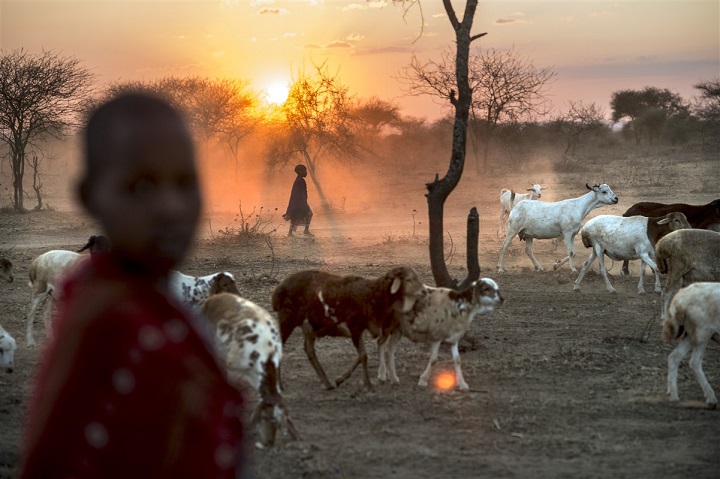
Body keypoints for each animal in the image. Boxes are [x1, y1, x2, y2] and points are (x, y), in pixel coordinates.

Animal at [272, 266, 424, 390]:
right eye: (409, 279)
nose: (423, 291)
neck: (374, 298)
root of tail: (277, 292)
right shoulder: (355, 327)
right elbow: (363, 355)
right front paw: (367, 384)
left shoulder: (360, 330)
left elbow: (362, 354)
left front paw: (340, 379)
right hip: (288, 318)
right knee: (278, 347)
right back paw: (279, 384)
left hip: (307, 326)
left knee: (309, 350)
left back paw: (327, 383)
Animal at [376, 280, 506, 392]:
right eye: (486, 288)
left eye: (497, 288)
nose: (502, 299)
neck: (460, 307)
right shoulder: (436, 335)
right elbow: (434, 359)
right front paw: (423, 380)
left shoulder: (454, 338)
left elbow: (457, 360)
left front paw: (462, 384)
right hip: (388, 323)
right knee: (381, 343)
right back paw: (382, 374)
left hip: (399, 329)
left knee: (390, 348)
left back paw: (393, 378)